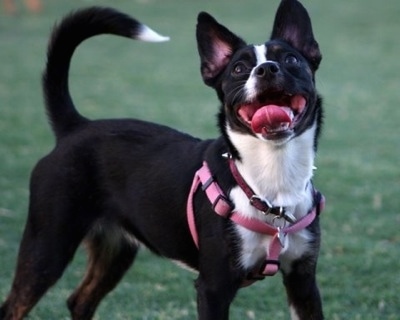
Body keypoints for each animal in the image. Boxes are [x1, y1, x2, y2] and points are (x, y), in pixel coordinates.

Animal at [0, 0, 324, 318]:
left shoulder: (303, 281)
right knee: (12, 307)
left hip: (115, 249)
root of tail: (75, 126)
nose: (267, 69)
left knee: (79, 301)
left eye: (291, 60)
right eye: (240, 68)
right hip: (47, 245)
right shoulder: (214, 288)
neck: (270, 178)